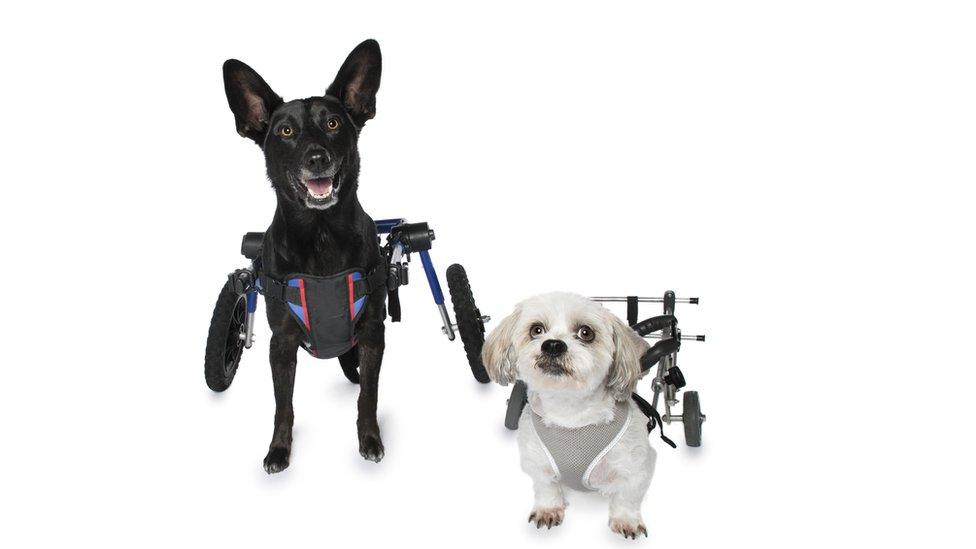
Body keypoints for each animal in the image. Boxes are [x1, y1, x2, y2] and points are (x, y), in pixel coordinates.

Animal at [223, 40, 386, 474]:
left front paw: (370, 440)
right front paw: (278, 450)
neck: (321, 234)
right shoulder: (280, 342)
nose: (317, 158)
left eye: (332, 124)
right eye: (285, 131)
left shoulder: (372, 333)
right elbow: (283, 404)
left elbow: (368, 396)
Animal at [480, 294, 656, 536]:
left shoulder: (637, 466)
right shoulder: (536, 460)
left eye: (586, 332)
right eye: (536, 330)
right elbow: (546, 486)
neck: (570, 413)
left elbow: (627, 495)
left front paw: (626, 519)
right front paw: (548, 509)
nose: (553, 345)